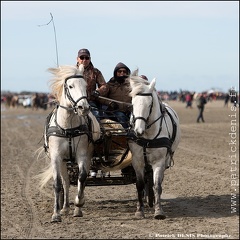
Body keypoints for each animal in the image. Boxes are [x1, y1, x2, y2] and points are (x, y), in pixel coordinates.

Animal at [37, 64, 100, 222]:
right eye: (70, 86)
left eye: (85, 85)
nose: (84, 108)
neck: (68, 127)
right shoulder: (56, 157)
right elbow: (58, 184)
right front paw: (56, 213)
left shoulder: (83, 155)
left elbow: (82, 178)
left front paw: (78, 204)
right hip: (64, 161)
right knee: (65, 181)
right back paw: (64, 207)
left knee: (80, 180)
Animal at [127, 69, 180, 219]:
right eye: (132, 103)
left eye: (149, 104)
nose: (138, 131)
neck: (147, 136)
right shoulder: (137, 160)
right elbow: (139, 185)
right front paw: (139, 211)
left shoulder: (159, 161)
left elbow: (157, 185)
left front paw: (158, 211)